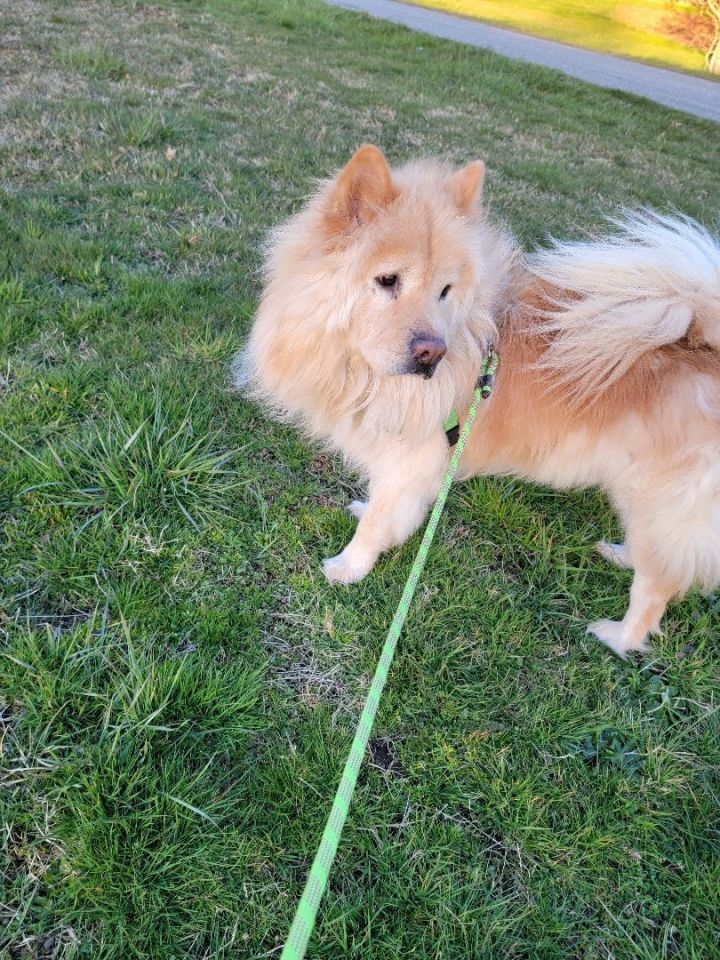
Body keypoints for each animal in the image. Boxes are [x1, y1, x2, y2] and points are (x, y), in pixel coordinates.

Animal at [239, 144, 720, 660]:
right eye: (388, 280)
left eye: (444, 291)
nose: (431, 352)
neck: (362, 371)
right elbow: (384, 509)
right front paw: (367, 514)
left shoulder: (410, 462)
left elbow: (376, 527)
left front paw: (348, 568)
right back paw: (621, 554)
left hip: (662, 500)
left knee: (659, 586)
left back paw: (619, 637)